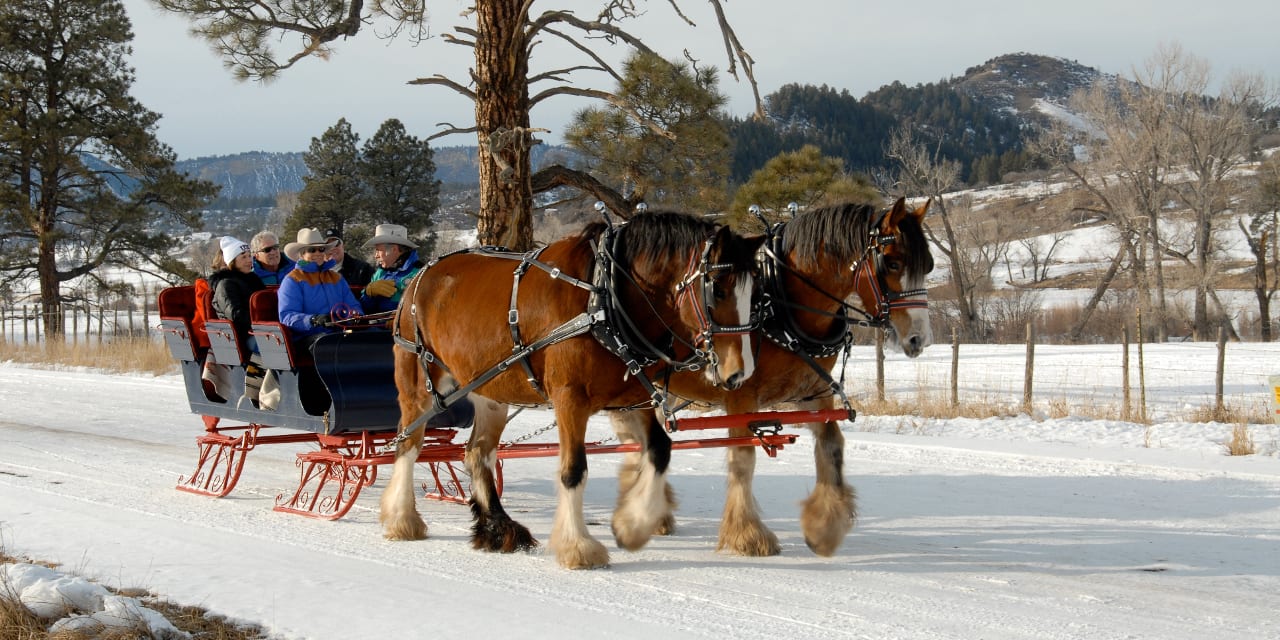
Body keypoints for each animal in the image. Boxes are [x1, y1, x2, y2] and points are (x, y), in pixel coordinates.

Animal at [373, 212, 762, 568]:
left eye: (754, 295)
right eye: (718, 289)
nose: (739, 373)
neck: (604, 297)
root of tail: (421, 274)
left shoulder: (632, 398)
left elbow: (660, 451)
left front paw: (633, 526)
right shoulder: (570, 399)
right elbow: (574, 469)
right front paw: (579, 547)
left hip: (489, 390)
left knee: (477, 453)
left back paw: (497, 527)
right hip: (418, 382)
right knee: (409, 443)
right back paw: (403, 520)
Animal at [604, 197, 936, 558]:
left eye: (929, 266)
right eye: (892, 262)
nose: (919, 338)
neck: (781, 308)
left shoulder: (815, 391)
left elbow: (832, 445)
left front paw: (825, 528)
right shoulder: (739, 395)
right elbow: (742, 458)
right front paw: (748, 534)